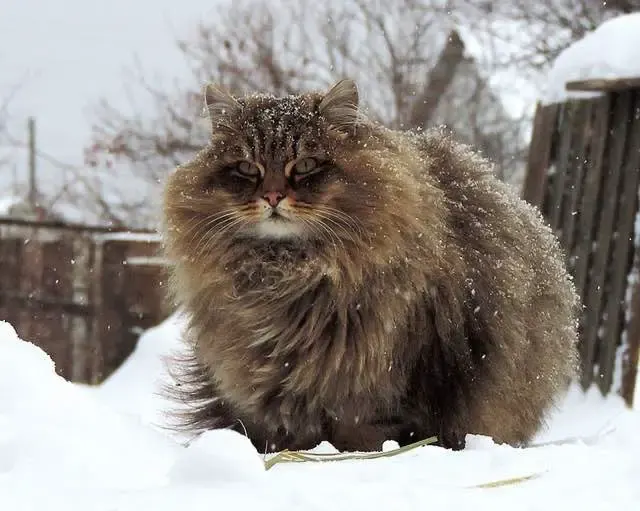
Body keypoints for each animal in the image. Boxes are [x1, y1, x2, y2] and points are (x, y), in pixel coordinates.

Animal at [161, 79, 580, 452]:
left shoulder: (386, 376)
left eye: (307, 164)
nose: (273, 196)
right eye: (248, 168)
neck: (286, 277)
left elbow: (366, 433)